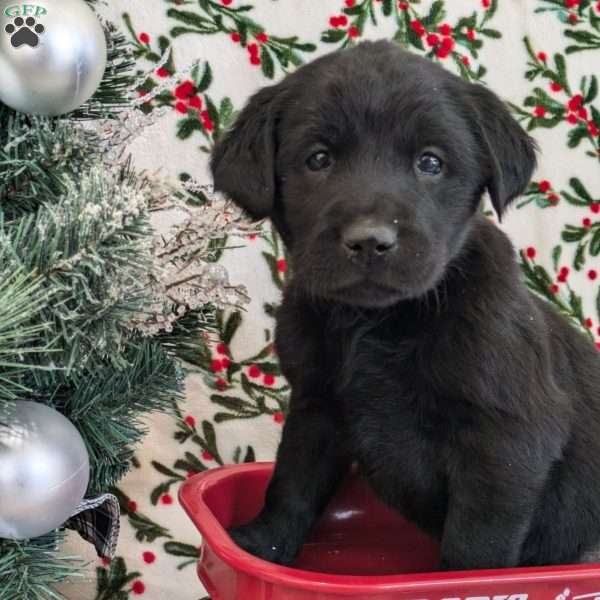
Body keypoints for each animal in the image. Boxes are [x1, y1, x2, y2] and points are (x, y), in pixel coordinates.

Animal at [209, 39, 600, 568]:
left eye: (430, 162)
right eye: (318, 159)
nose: (370, 241)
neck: (375, 325)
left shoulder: (508, 441)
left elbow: (477, 543)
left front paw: (462, 579)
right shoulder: (316, 407)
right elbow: (290, 483)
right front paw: (261, 546)